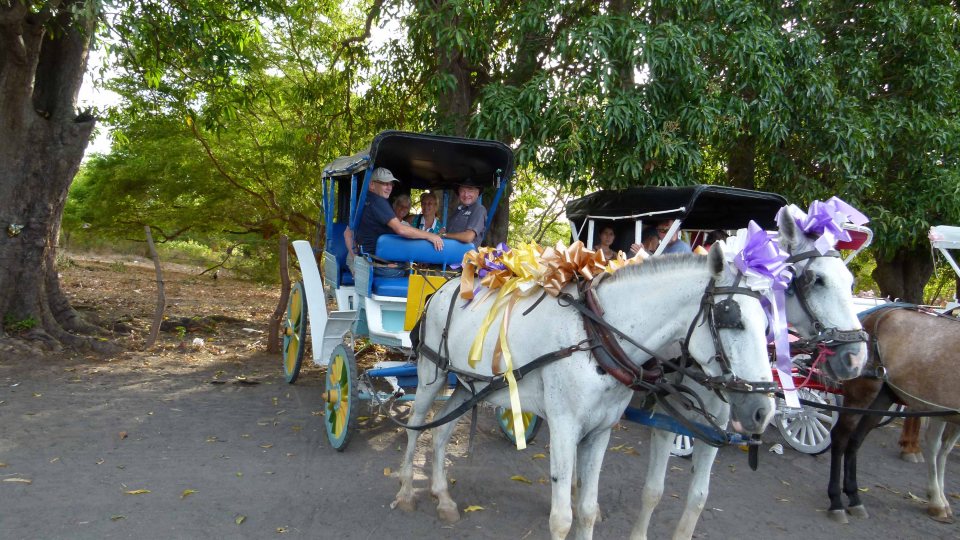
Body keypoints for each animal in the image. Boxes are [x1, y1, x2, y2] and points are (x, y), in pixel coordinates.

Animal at [394, 244, 777, 540]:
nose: (763, 410)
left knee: (441, 432)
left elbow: (588, 509)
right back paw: (406, 492)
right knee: (416, 428)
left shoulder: (600, 430)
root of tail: (446, 287)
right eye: (731, 319)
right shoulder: (564, 428)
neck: (596, 334)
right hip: (431, 376)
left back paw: (443, 498)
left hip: (468, 385)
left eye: (767, 324)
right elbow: (562, 517)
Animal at [631, 210, 870, 540]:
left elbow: (698, 498)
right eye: (817, 280)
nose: (857, 358)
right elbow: (653, 490)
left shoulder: (716, 426)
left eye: (850, 281)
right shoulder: (665, 421)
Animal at [827, 305, 960, 523]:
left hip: (883, 396)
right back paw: (836, 501)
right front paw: (937, 500)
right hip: (861, 392)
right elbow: (937, 447)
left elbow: (943, 449)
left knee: (855, 440)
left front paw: (938, 499)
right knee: (840, 436)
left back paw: (854, 497)